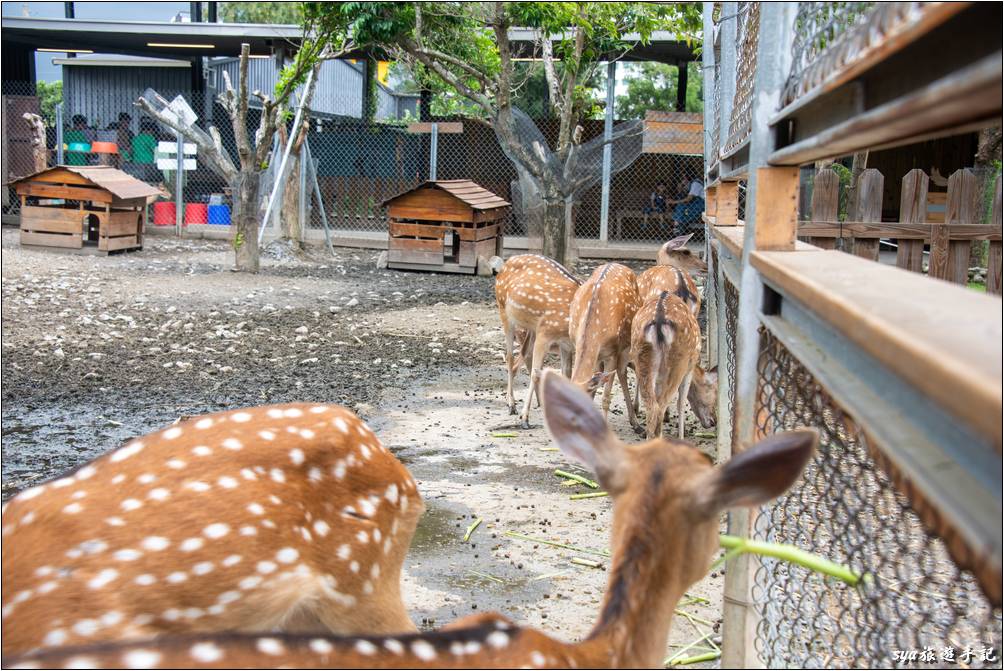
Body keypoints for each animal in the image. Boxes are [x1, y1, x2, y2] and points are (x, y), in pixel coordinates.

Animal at [493, 254, 582, 427]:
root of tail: (506, 263)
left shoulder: (566, 344)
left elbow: (566, 375)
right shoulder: (546, 333)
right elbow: (536, 373)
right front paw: (524, 418)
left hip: (532, 328)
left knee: (525, 354)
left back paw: (539, 402)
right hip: (503, 310)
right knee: (510, 357)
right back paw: (511, 404)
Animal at [626, 289, 714, 437]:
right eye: (712, 389)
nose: (714, 421)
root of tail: (659, 322)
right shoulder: (689, 369)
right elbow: (681, 402)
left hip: (642, 358)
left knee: (652, 407)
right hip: (678, 364)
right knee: (660, 407)